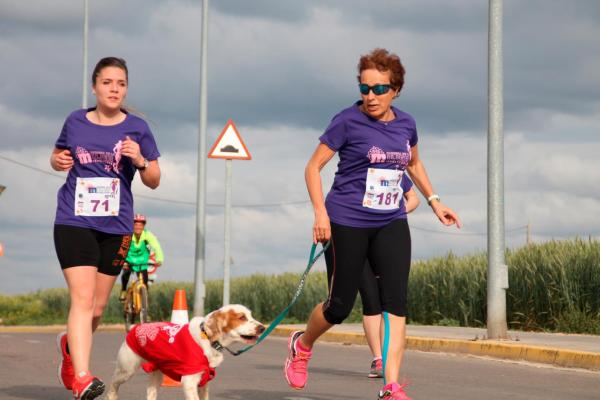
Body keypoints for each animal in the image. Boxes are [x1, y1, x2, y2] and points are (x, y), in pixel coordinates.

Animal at [106, 304, 264, 398]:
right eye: (242, 317)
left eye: (251, 316)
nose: (262, 328)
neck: (208, 339)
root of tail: (135, 327)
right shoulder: (189, 381)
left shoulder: (204, 383)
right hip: (126, 370)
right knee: (112, 385)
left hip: (156, 375)